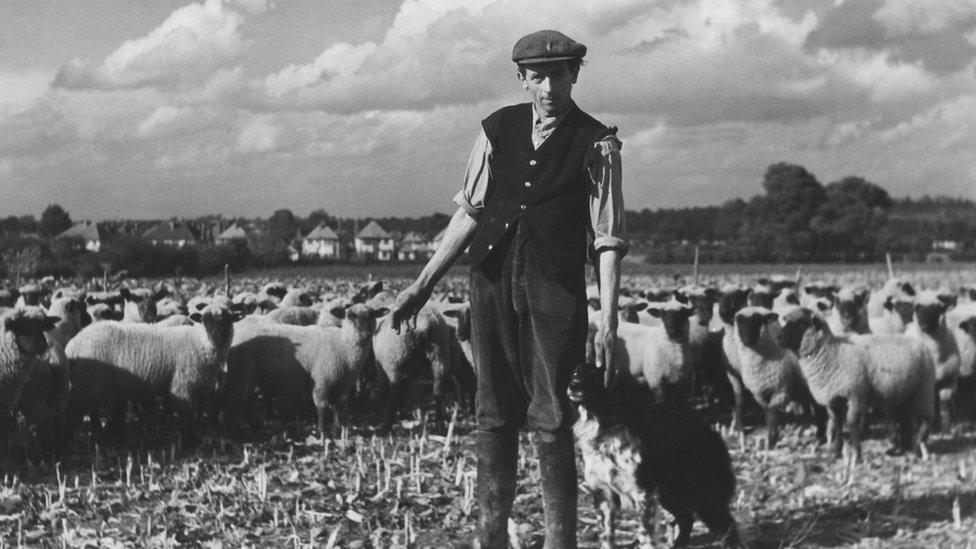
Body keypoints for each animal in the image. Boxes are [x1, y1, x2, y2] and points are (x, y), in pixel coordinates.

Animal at [564, 362, 740, 544]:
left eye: (595, 376)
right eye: (576, 373)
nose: (573, 385)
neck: (605, 429)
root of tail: (711, 430)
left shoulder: (642, 493)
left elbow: (645, 536)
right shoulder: (603, 493)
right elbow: (606, 538)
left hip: (703, 496)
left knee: (729, 529)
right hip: (669, 493)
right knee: (687, 519)